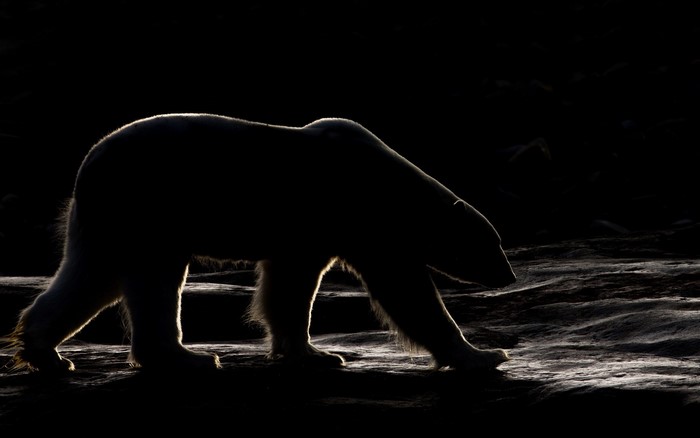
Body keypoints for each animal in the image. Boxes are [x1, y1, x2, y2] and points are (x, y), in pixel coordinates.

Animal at [3, 114, 516, 374]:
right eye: (493, 244)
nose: (509, 275)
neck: (389, 183)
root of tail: (90, 162)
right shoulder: (356, 217)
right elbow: (406, 291)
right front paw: (483, 355)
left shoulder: (311, 234)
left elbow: (289, 286)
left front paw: (312, 352)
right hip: (151, 205)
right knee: (152, 280)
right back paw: (187, 357)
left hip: (109, 220)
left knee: (91, 276)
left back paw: (46, 352)